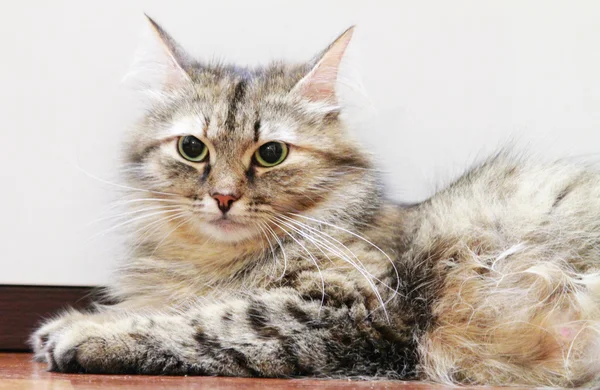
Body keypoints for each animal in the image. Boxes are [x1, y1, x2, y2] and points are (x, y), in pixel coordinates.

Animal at [30, 16, 600, 386]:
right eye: (193, 149)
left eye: (272, 153)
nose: (223, 196)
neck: (216, 263)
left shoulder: (350, 309)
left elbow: (207, 323)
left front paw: (86, 332)